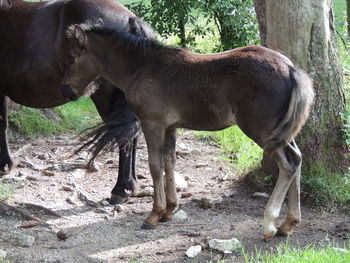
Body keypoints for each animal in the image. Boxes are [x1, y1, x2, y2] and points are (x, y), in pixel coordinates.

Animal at [60, 19, 314, 241]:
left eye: (72, 58)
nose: (66, 90)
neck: (141, 68)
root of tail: (291, 69)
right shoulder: (170, 127)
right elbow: (170, 161)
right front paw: (169, 210)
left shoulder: (152, 123)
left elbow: (155, 165)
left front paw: (154, 215)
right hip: (281, 131)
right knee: (298, 158)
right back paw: (288, 224)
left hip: (262, 130)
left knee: (289, 163)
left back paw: (270, 225)